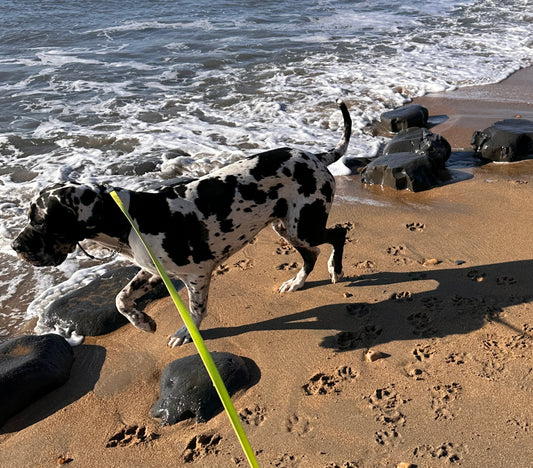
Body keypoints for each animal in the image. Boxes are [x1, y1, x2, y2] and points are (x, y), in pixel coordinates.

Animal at [12, 99, 352, 348]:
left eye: (41, 221)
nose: (15, 246)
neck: (129, 219)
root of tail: (318, 156)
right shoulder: (152, 270)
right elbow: (121, 299)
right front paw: (143, 322)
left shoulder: (197, 275)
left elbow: (195, 311)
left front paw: (187, 333)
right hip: (286, 227)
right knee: (312, 254)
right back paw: (297, 282)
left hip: (303, 226)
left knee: (337, 235)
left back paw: (335, 269)